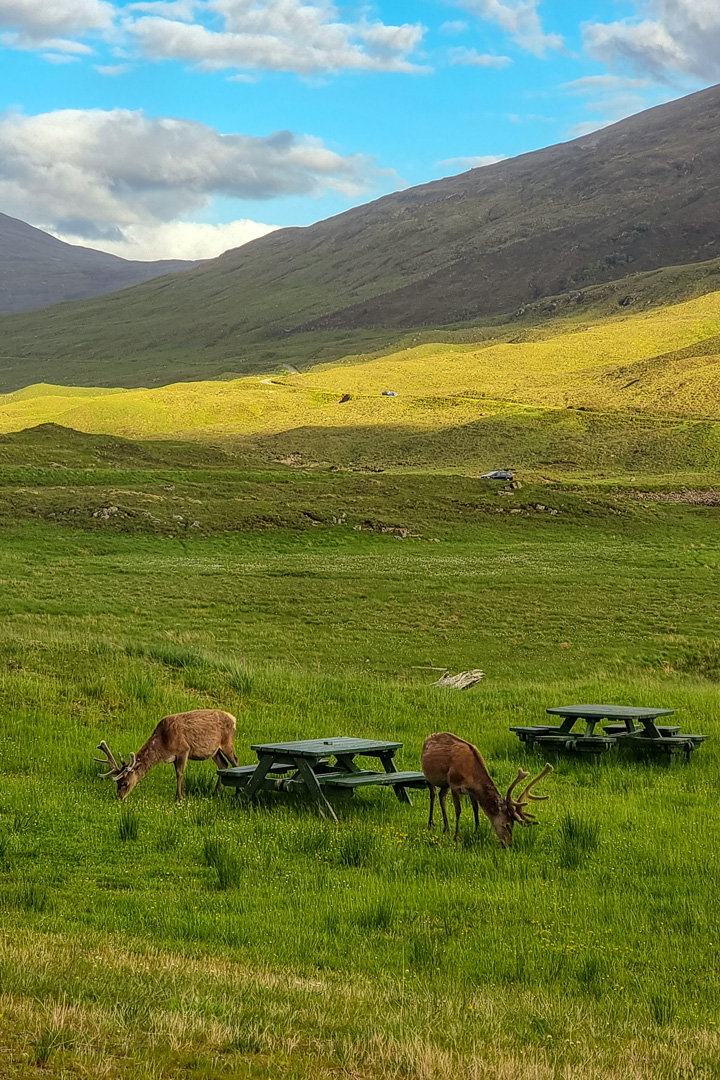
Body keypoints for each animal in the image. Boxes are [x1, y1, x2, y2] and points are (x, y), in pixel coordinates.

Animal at [91, 708, 239, 803]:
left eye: (125, 783)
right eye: (118, 783)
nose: (119, 797)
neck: (163, 744)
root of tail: (234, 719)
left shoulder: (184, 749)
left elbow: (180, 773)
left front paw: (178, 798)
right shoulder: (174, 757)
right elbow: (178, 773)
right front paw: (183, 794)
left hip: (227, 742)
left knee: (235, 762)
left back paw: (237, 792)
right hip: (214, 750)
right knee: (223, 764)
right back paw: (216, 793)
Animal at [423, 730, 552, 846]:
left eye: (513, 825)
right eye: (507, 825)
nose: (508, 844)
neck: (470, 774)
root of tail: (428, 737)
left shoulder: (471, 791)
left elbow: (475, 809)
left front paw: (477, 830)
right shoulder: (454, 784)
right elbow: (458, 810)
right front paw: (457, 837)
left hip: (445, 784)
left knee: (441, 796)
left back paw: (446, 829)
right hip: (429, 776)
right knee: (433, 794)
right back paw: (431, 824)